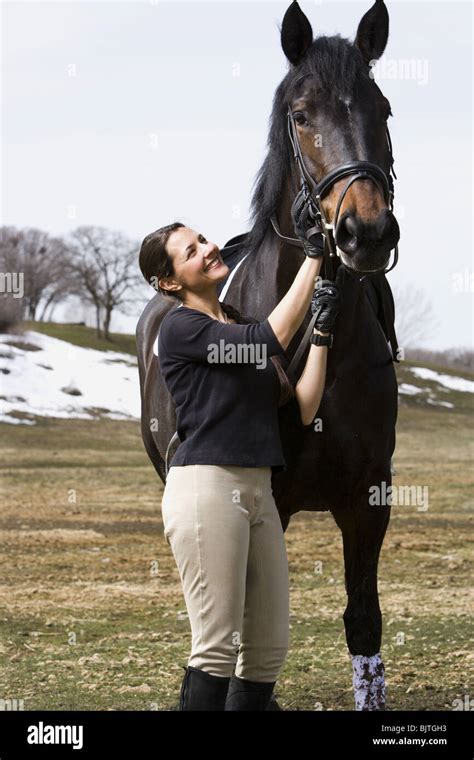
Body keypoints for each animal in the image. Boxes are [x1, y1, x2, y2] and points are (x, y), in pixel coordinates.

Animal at [136, 1, 400, 712]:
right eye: (302, 115)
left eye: (384, 109)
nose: (365, 233)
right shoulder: (267, 500)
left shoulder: (369, 498)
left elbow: (363, 620)